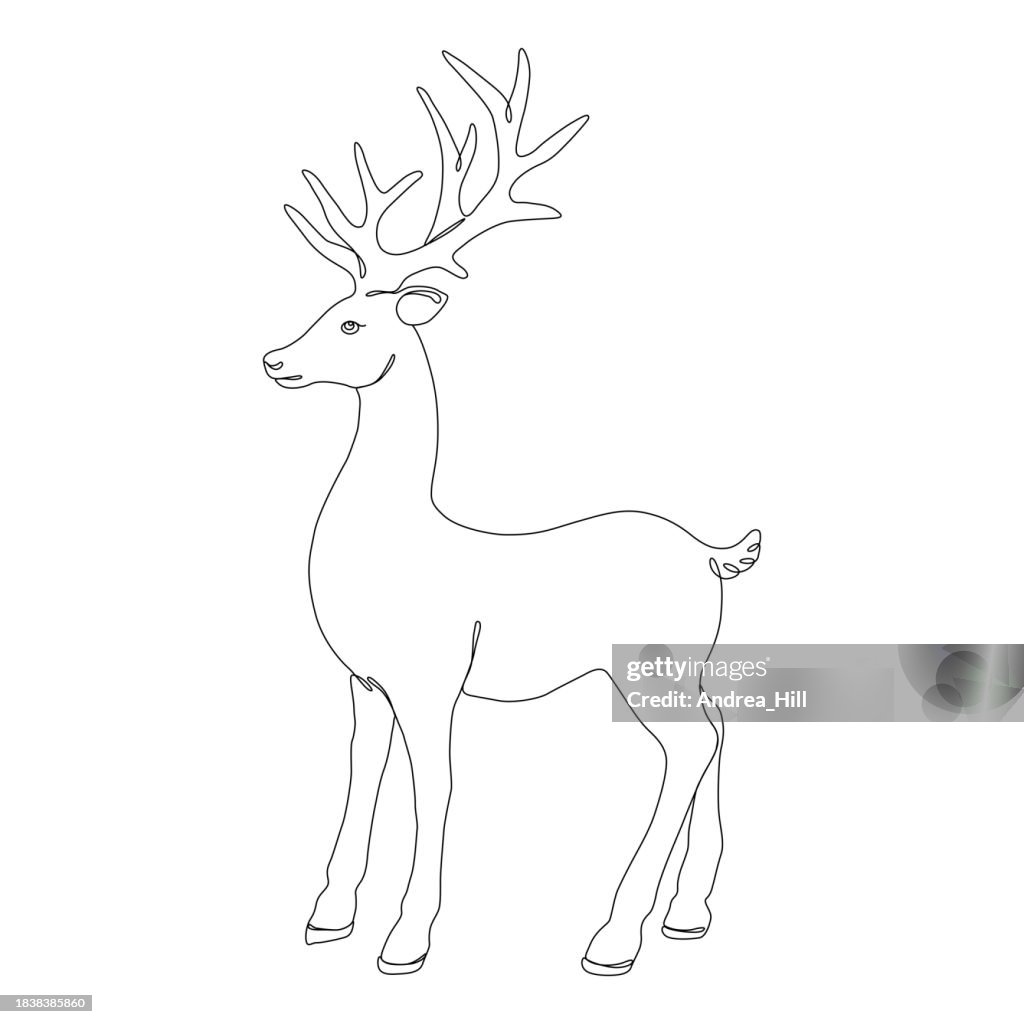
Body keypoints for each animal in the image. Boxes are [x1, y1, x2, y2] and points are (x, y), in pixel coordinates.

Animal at [263, 49, 761, 977]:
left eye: (351, 323)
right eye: (323, 309)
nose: (274, 359)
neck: (392, 542)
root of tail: (715, 553)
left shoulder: (432, 675)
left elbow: (435, 790)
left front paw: (405, 942)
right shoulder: (363, 679)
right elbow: (360, 779)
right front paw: (326, 918)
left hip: (647, 664)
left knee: (689, 748)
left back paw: (612, 939)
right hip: (691, 664)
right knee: (720, 732)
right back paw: (688, 915)